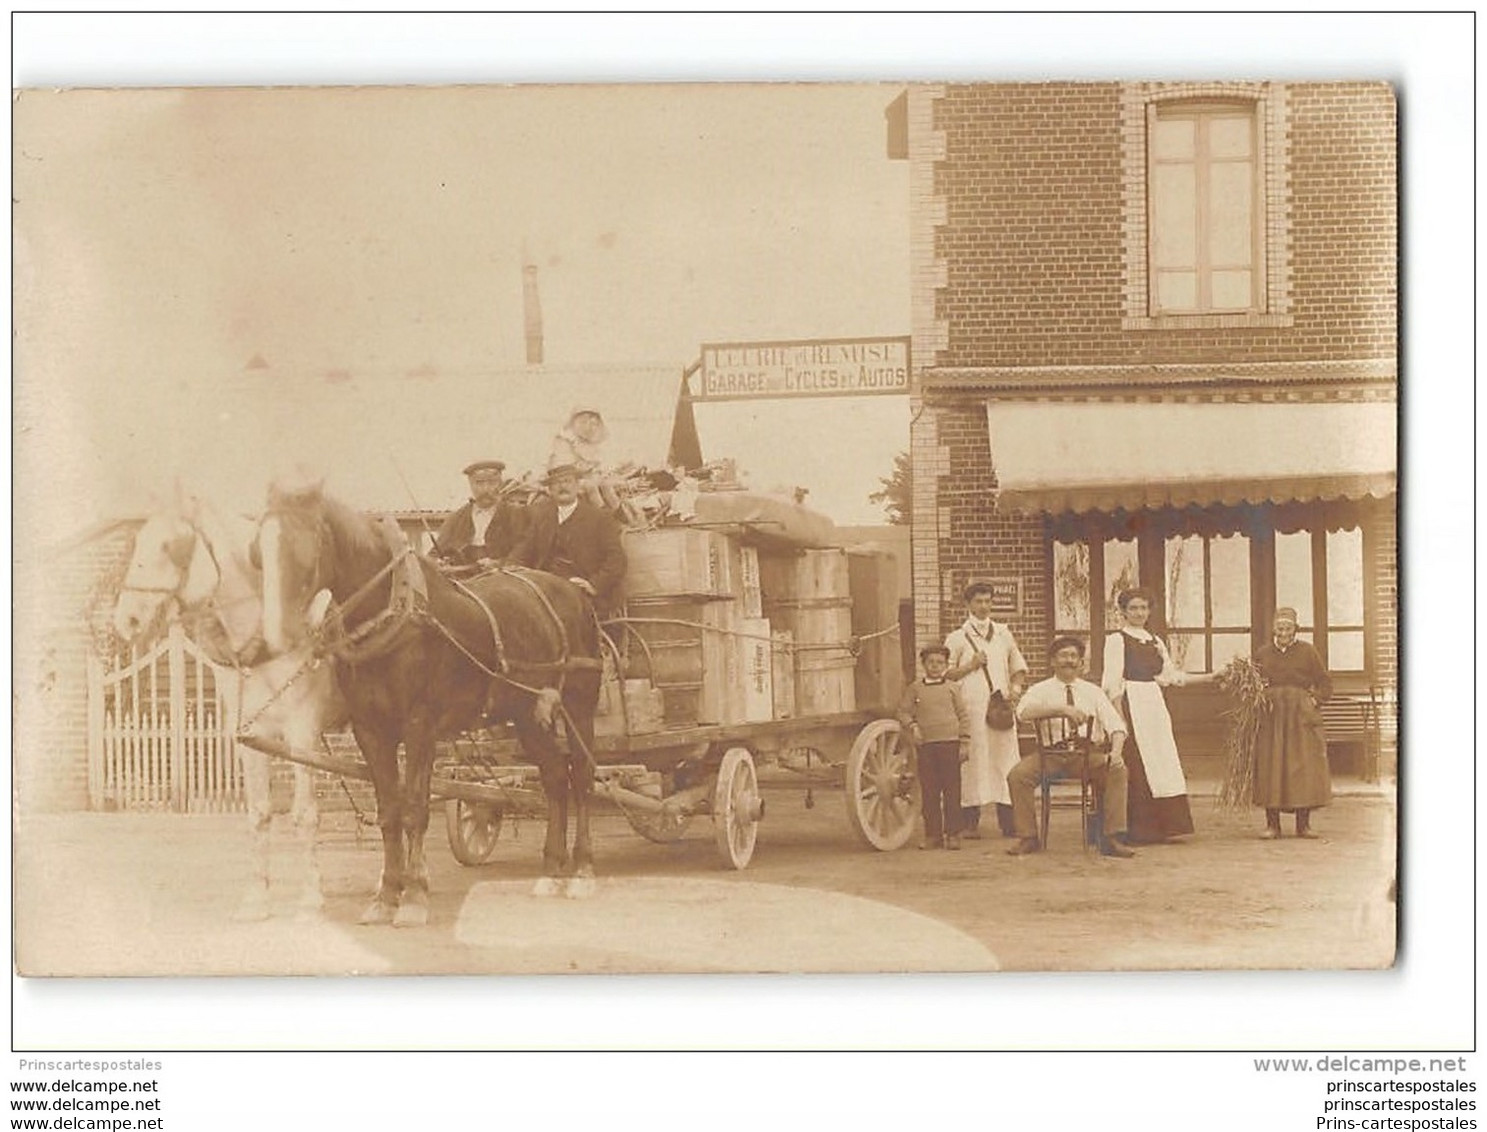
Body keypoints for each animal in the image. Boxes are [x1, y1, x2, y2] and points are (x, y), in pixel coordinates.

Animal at [110, 490, 344, 922]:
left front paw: (311, 898)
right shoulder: (251, 737)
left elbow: (305, 814)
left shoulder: (303, 734)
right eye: (137, 540)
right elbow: (259, 813)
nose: (127, 618)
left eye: (171, 546)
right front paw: (257, 898)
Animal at [257, 481, 603, 922]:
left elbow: (415, 808)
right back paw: (550, 870)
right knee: (556, 777)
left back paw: (582, 870)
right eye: (258, 546)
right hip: (527, 713)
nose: (275, 629)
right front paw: (386, 895)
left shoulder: (420, 727)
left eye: (302, 543)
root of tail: (575, 592)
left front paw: (414, 897)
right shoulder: (371, 731)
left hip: (579, 705)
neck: (394, 613)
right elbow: (389, 811)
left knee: (582, 778)